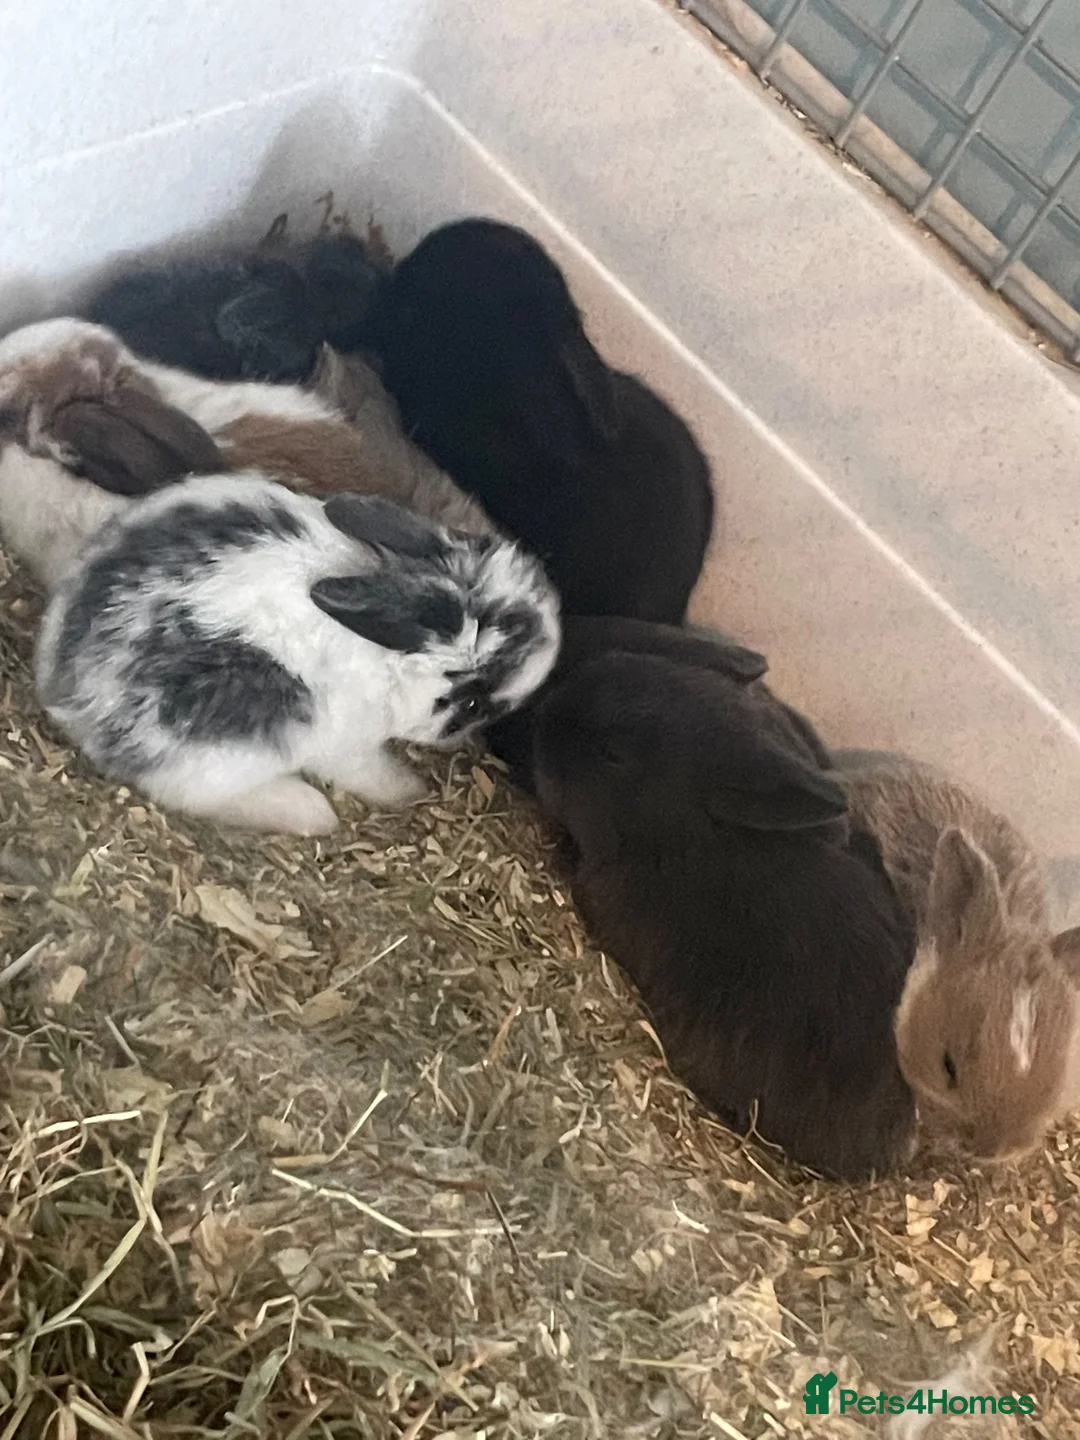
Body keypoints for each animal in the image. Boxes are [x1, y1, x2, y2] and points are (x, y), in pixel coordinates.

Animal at [35, 474, 560, 835]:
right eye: (471, 702)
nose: (462, 739)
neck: (390, 659)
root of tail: (69, 694)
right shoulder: (349, 747)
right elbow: (371, 773)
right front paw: (409, 790)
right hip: (250, 740)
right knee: (187, 792)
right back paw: (311, 812)